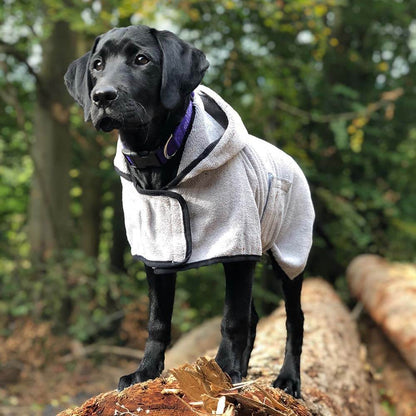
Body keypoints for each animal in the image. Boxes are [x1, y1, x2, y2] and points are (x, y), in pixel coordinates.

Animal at [64, 24, 306, 398]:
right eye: (97, 65)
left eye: (141, 60)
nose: (102, 96)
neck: (156, 158)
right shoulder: (157, 251)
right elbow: (158, 322)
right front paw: (145, 372)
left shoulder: (238, 246)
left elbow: (232, 319)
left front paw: (223, 371)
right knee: (253, 316)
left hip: (289, 255)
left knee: (294, 320)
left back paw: (287, 379)